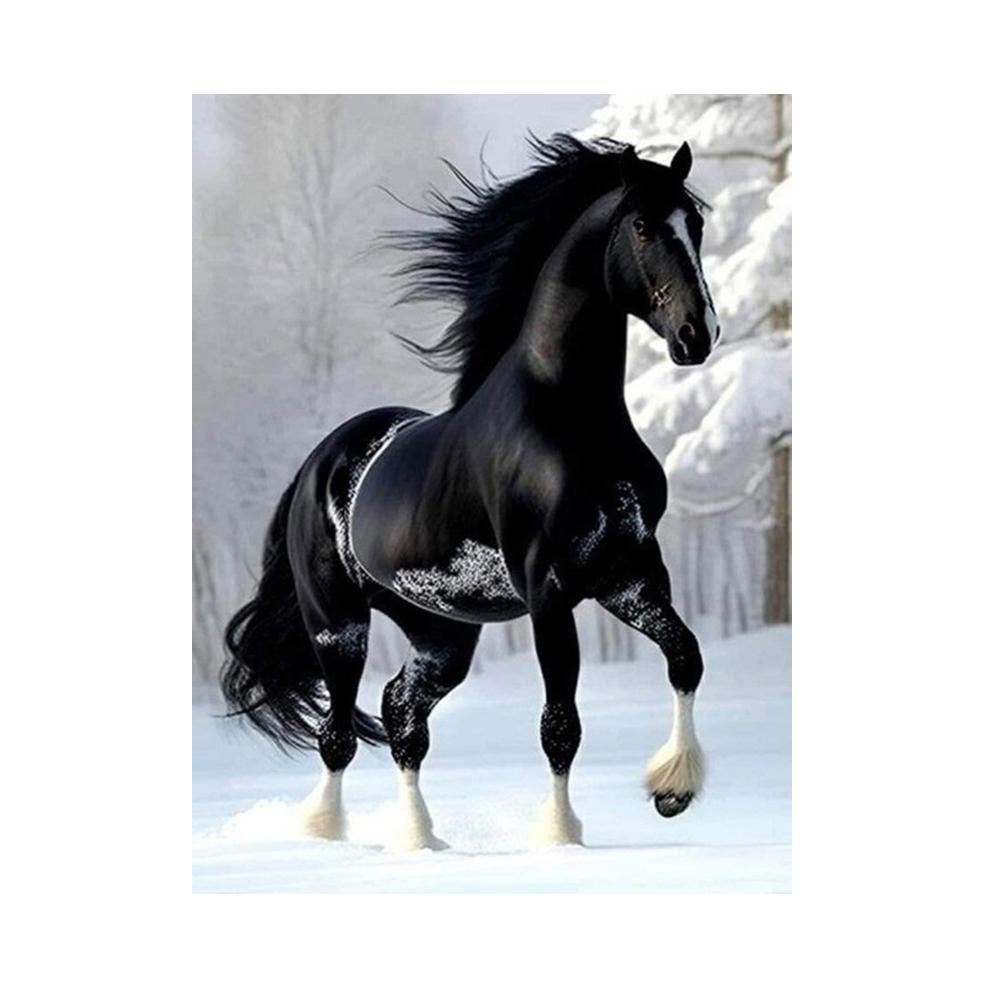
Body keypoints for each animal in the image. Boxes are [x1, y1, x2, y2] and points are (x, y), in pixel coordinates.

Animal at [221, 133, 720, 849]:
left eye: (696, 224)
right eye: (644, 227)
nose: (695, 337)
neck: (571, 422)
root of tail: (320, 460)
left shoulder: (629, 574)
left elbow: (686, 659)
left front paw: (673, 790)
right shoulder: (549, 590)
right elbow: (560, 724)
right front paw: (561, 835)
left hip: (442, 634)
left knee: (401, 716)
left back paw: (420, 839)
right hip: (337, 625)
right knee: (339, 735)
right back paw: (326, 832)